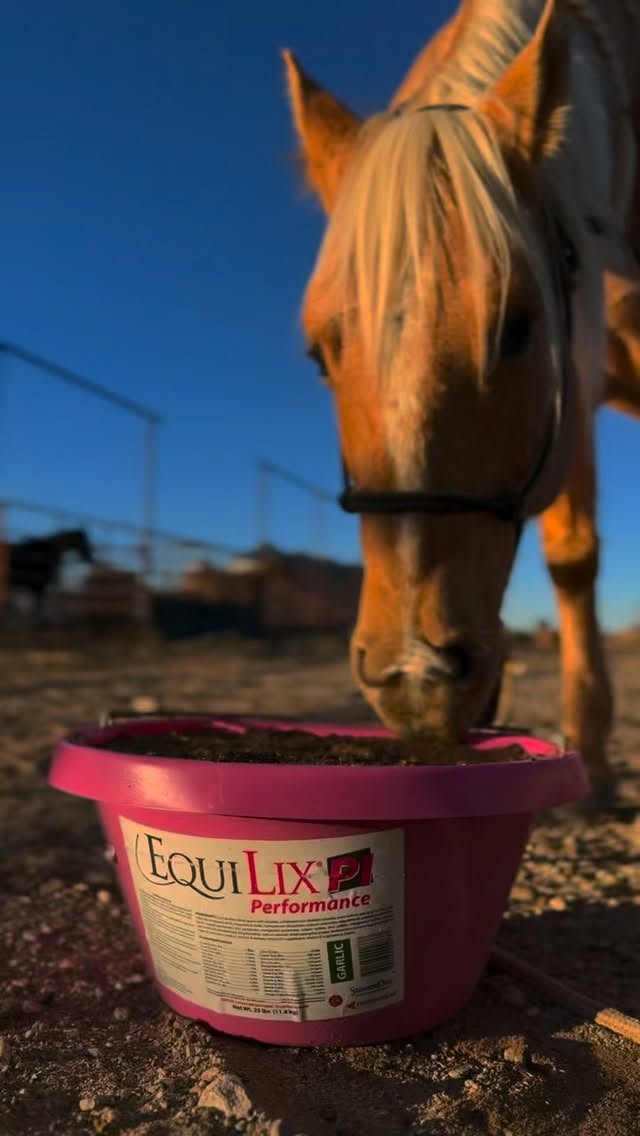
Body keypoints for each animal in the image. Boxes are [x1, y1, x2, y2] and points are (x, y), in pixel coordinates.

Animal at [282, 0, 640, 801]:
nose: (415, 674)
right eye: (320, 354)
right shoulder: (576, 393)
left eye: (518, 329)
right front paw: (592, 754)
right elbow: (573, 558)